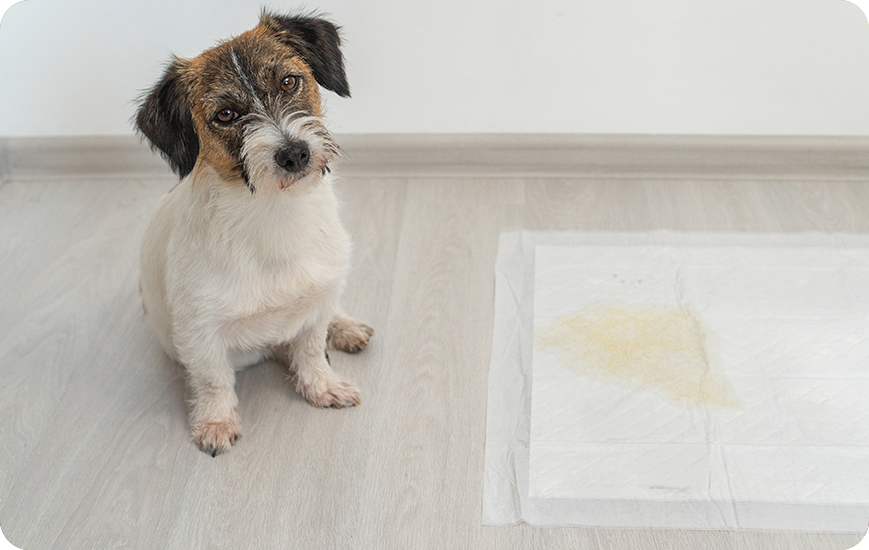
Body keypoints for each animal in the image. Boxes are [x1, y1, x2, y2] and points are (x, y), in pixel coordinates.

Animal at [134, 11, 372, 458]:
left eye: (289, 82)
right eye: (226, 115)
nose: (293, 153)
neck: (273, 213)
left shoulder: (315, 301)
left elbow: (312, 349)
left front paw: (323, 386)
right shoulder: (200, 330)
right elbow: (213, 379)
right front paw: (215, 422)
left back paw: (345, 326)